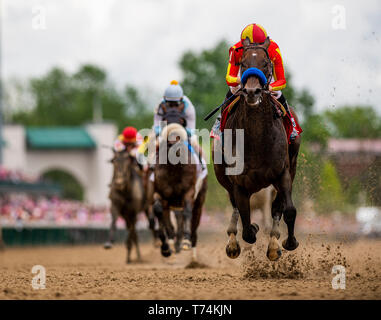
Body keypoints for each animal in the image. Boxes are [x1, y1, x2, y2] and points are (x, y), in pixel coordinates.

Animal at [211, 37, 300, 262]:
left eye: (266, 64)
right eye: (242, 64)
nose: (252, 92)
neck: (257, 138)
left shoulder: (283, 174)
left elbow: (289, 210)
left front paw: (288, 242)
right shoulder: (239, 184)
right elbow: (247, 228)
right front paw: (248, 231)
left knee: (277, 207)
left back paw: (274, 244)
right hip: (223, 177)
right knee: (236, 208)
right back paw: (234, 242)